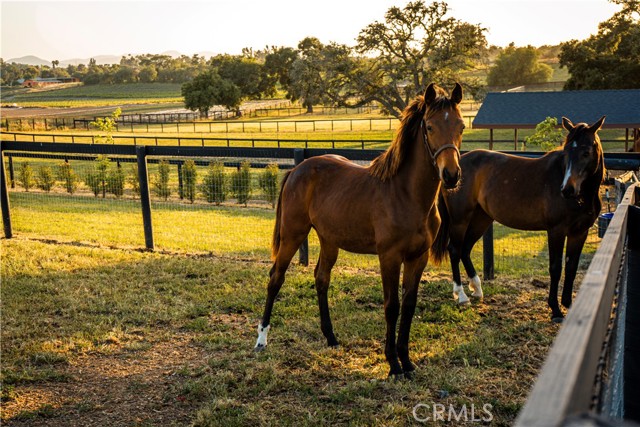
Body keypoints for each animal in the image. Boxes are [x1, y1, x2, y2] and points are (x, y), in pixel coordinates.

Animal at [254, 83, 464, 378]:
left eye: (461, 126)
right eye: (430, 127)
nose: (451, 175)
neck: (405, 194)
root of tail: (297, 170)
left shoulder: (417, 258)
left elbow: (409, 306)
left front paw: (407, 361)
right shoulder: (389, 257)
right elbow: (392, 306)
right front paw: (393, 364)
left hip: (329, 240)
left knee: (321, 278)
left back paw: (331, 337)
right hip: (292, 235)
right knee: (276, 278)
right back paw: (261, 339)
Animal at [430, 115, 604, 322]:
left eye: (586, 152)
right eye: (567, 150)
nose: (567, 189)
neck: (582, 196)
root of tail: (452, 169)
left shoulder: (580, 232)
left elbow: (571, 268)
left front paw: (568, 304)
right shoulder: (556, 231)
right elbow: (555, 268)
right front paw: (555, 310)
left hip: (482, 219)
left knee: (465, 250)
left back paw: (477, 290)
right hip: (460, 220)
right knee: (455, 250)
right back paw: (462, 295)